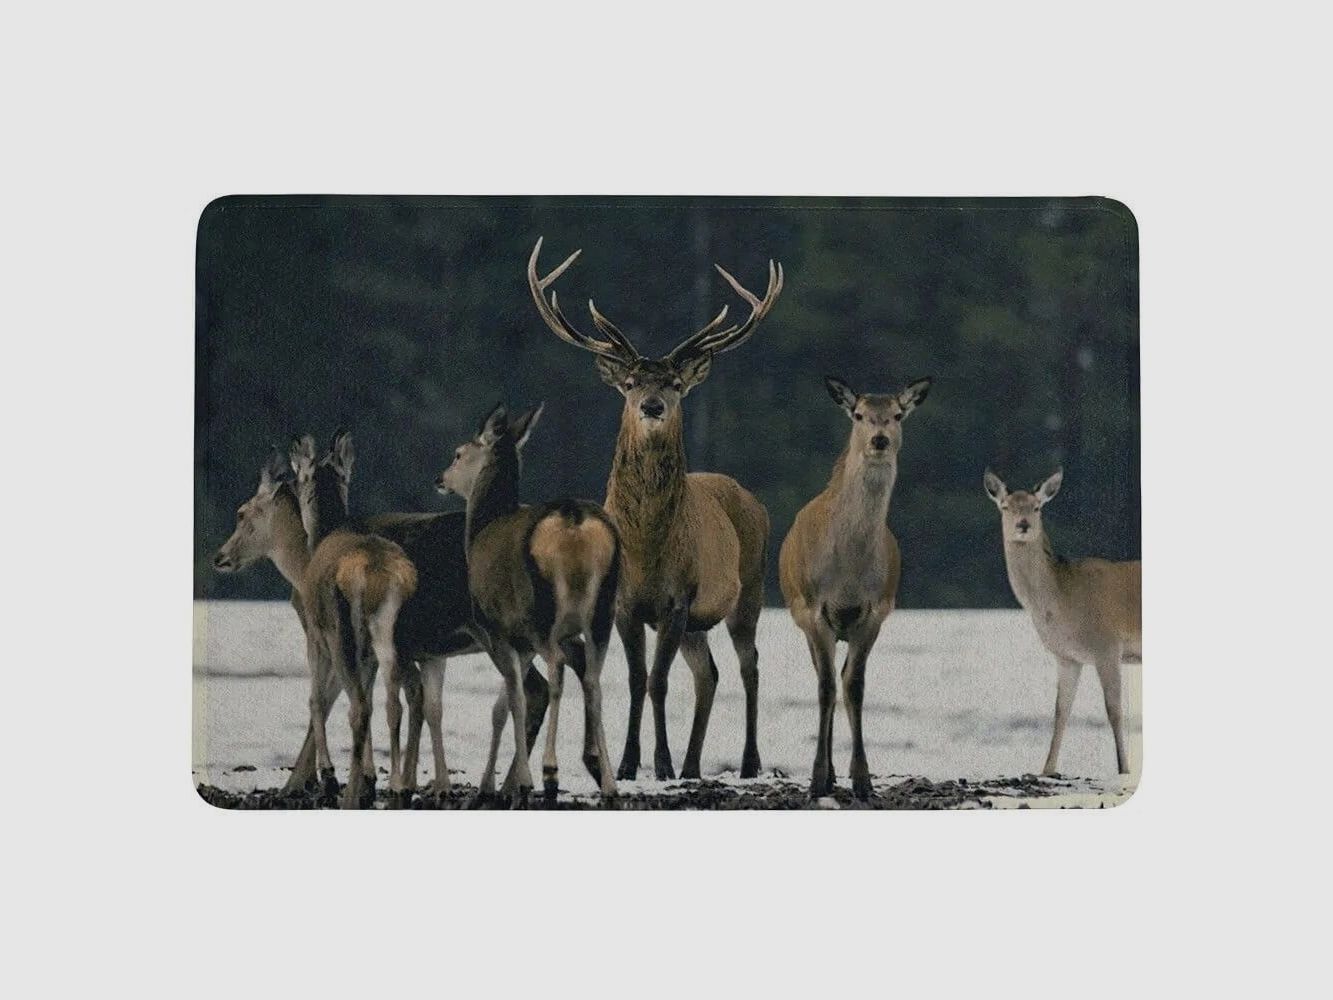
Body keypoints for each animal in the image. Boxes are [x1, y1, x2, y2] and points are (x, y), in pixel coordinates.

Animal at [437, 403, 621, 804]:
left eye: (458, 453)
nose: (440, 478)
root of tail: (574, 520)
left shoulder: (498, 629)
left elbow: (515, 700)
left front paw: (515, 783)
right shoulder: (529, 640)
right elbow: (510, 701)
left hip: (540, 611)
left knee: (557, 670)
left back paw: (550, 773)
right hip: (603, 611)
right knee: (594, 680)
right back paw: (610, 783)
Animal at [527, 238, 780, 782]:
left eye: (676, 385)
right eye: (628, 383)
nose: (651, 406)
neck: (645, 546)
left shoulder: (677, 598)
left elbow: (658, 682)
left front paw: (658, 764)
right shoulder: (623, 603)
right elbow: (637, 679)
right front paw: (627, 764)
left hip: (749, 587)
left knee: (749, 665)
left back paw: (747, 762)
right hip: (699, 623)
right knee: (709, 673)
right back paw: (692, 765)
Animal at [778, 375, 932, 800]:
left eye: (897, 414)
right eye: (859, 414)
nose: (879, 439)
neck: (848, 574)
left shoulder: (874, 612)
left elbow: (855, 687)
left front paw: (863, 780)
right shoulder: (814, 609)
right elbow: (826, 688)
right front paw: (817, 780)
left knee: (841, 679)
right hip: (803, 615)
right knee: (825, 679)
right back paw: (828, 775)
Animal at [983, 467, 1141, 777]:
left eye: (1037, 507)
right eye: (1005, 506)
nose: (1022, 525)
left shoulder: (1108, 645)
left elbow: (1114, 710)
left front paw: (1124, 769)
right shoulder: (1067, 657)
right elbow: (1060, 710)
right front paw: (1046, 769)